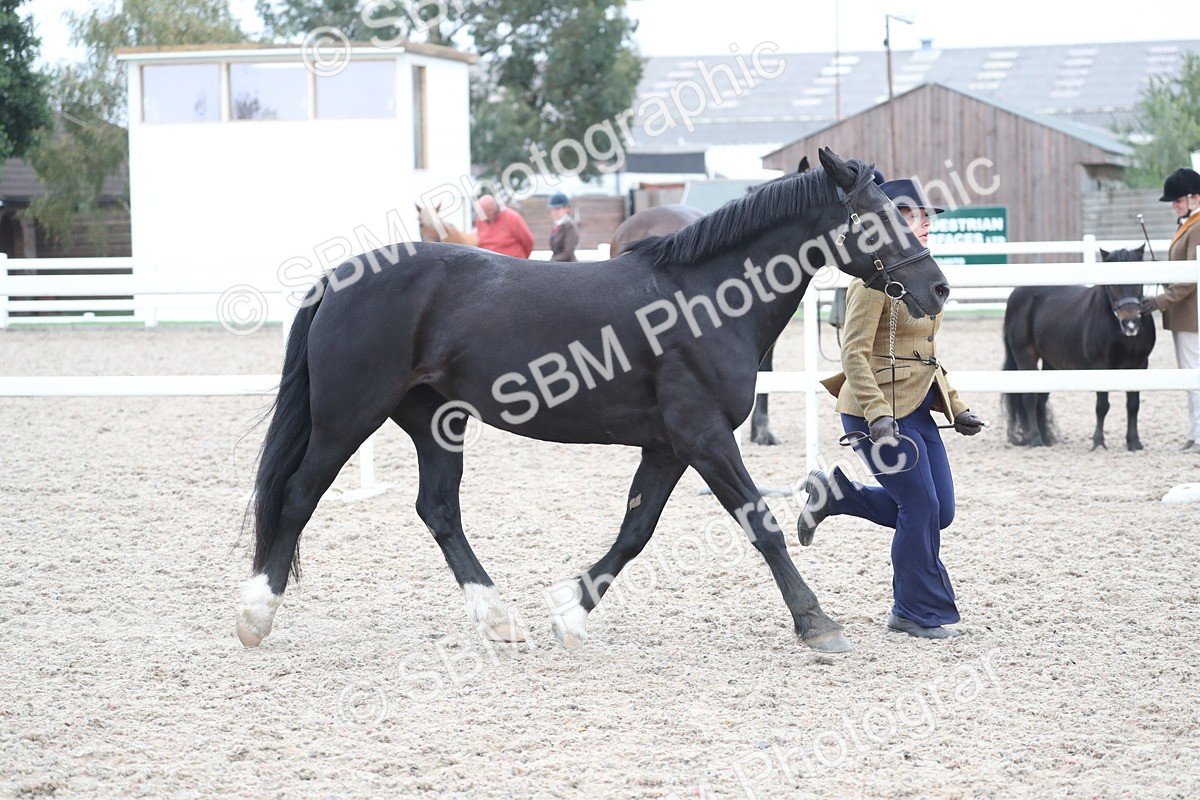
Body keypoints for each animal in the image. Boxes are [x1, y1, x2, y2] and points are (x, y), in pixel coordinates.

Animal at [236, 147, 949, 655]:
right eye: (875, 216)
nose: (937, 288)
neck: (706, 298)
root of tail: (340, 276)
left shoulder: (668, 445)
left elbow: (636, 531)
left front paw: (570, 612)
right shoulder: (703, 436)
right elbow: (759, 522)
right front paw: (816, 622)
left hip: (436, 423)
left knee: (437, 509)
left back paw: (500, 619)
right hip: (346, 418)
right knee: (298, 497)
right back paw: (255, 616)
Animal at [1002, 245, 1155, 450]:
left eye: (1139, 281)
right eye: (1112, 284)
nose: (1131, 323)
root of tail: (1015, 294)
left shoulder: (1139, 365)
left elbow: (1133, 405)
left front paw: (1134, 442)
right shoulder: (1102, 367)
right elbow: (1102, 405)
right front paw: (1098, 442)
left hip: (1051, 362)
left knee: (1042, 399)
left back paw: (1046, 438)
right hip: (1025, 355)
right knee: (1030, 397)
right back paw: (1035, 438)